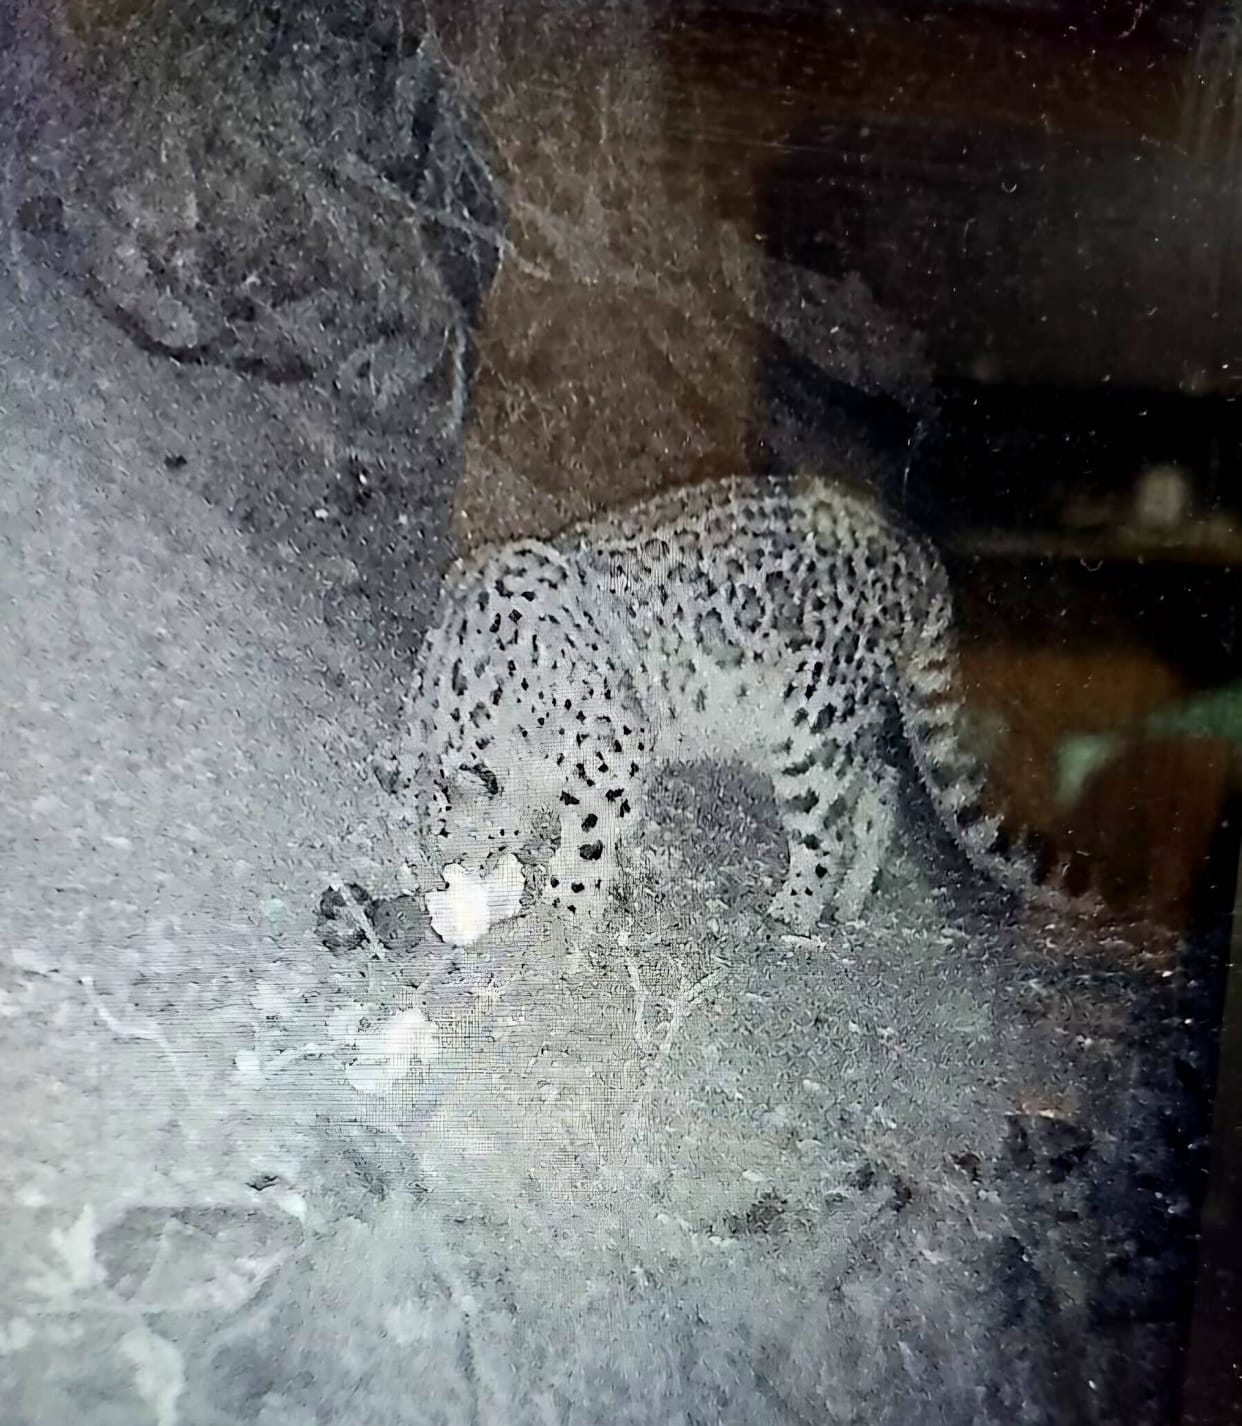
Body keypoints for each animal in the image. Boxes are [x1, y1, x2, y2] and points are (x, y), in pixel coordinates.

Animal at [385, 473, 1051, 935]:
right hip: (830, 733)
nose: (448, 876)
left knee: (828, 828)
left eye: (454, 839)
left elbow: (591, 837)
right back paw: (850, 898)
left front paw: (567, 906)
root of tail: (919, 550)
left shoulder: (614, 747)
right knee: (881, 784)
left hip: (814, 733)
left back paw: (798, 909)